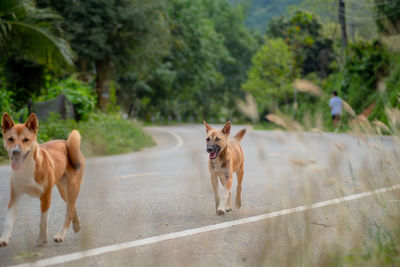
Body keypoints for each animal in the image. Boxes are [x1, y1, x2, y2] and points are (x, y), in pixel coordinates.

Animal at [0, 113, 84, 247]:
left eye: (26, 139)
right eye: (10, 139)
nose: (16, 152)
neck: (27, 168)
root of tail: (66, 142)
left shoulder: (45, 196)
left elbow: (43, 221)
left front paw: (42, 239)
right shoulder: (14, 196)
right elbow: (8, 221)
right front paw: (4, 238)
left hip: (72, 187)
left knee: (68, 212)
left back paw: (61, 234)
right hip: (63, 191)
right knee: (72, 207)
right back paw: (76, 225)